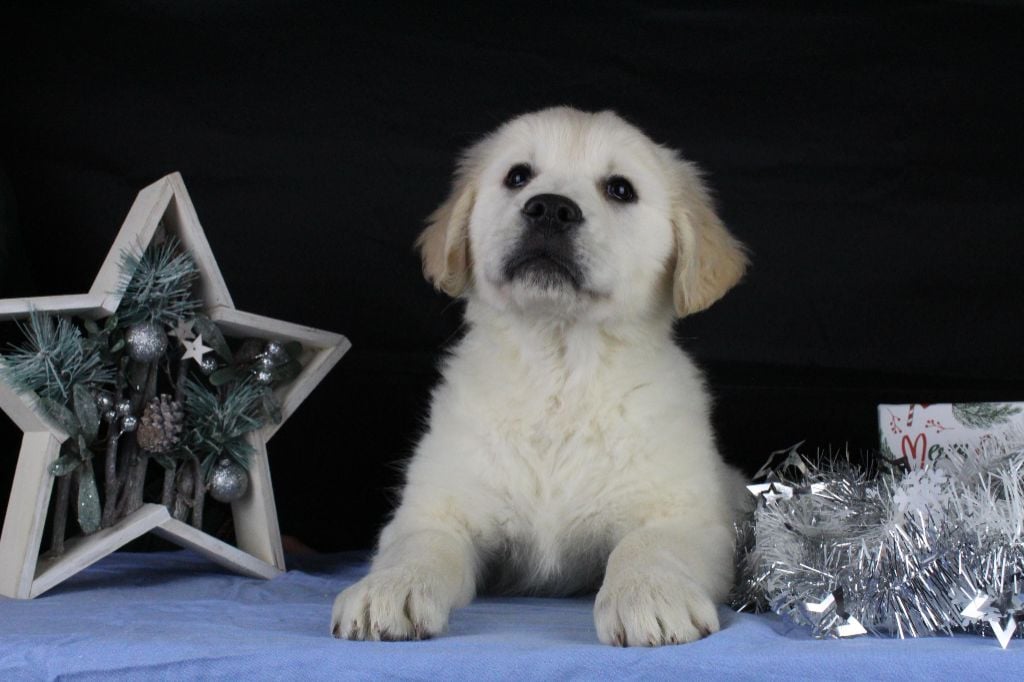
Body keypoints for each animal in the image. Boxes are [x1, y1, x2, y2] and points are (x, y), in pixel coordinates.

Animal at [331, 104, 749, 643]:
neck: (559, 370)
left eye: (620, 189)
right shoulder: (435, 508)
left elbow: (646, 547)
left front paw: (650, 595)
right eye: (518, 176)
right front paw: (389, 588)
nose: (550, 208)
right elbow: (418, 547)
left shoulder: (684, 516)